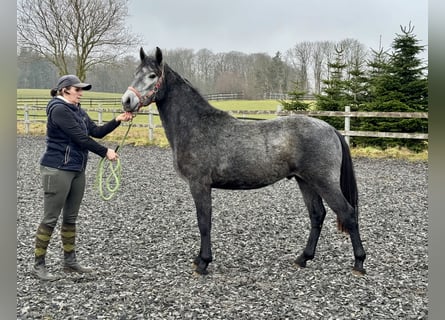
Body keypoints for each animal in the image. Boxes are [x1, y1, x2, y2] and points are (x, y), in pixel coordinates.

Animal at [120, 47, 364, 276]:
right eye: (135, 73)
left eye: (152, 75)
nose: (127, 101)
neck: (197, 125)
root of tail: (330, 129)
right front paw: (200, 259)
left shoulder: (199, 184)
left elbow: (204, 222)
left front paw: (203, 263)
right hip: (305, 181)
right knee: (317, 215)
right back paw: (303, 258)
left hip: (324, 182)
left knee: (348, 214)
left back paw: (359, 263)